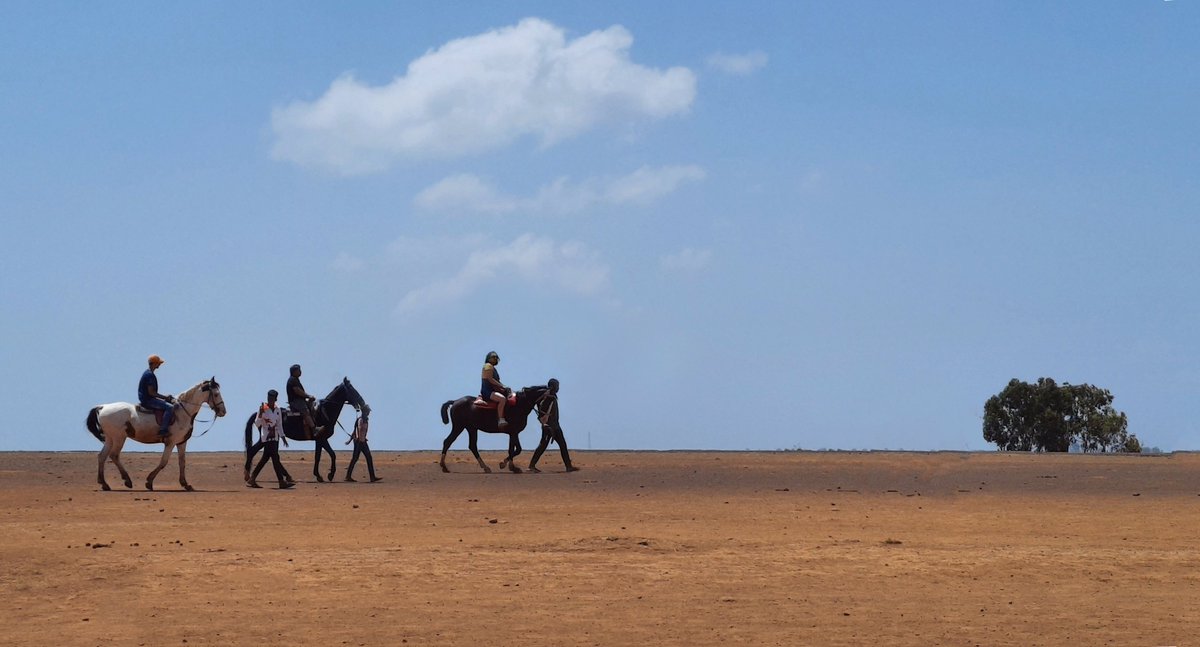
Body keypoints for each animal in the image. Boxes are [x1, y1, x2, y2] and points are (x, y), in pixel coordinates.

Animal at [86, 377, 227, 491]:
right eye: (216, 394)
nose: (223, 411)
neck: (182, 413)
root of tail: (102, 407)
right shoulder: (170, 442)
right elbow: (163, 462)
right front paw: (149, 482)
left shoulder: (181, 442)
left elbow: (182, 462)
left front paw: (186, 484)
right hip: (119, 438)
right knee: (114, 455)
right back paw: (127, 480)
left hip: (110, 438)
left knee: (102, 456)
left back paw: (104, 484)